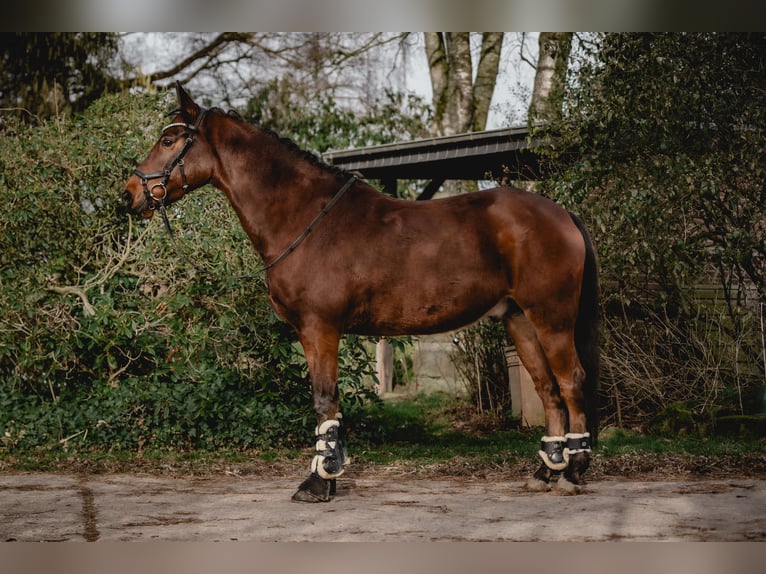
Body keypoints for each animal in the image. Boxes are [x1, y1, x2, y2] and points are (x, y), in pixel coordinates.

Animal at [122, 83, 600, 502]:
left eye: (168, 140)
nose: (128, 195)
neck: (305, 218)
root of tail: (561, 214)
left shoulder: (319, 328)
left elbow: (324, 400)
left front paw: (319, 481)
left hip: (551, 317)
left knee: (571, 382)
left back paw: (573, 473)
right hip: (519, 318)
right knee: (547, 389)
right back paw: (545, 471)